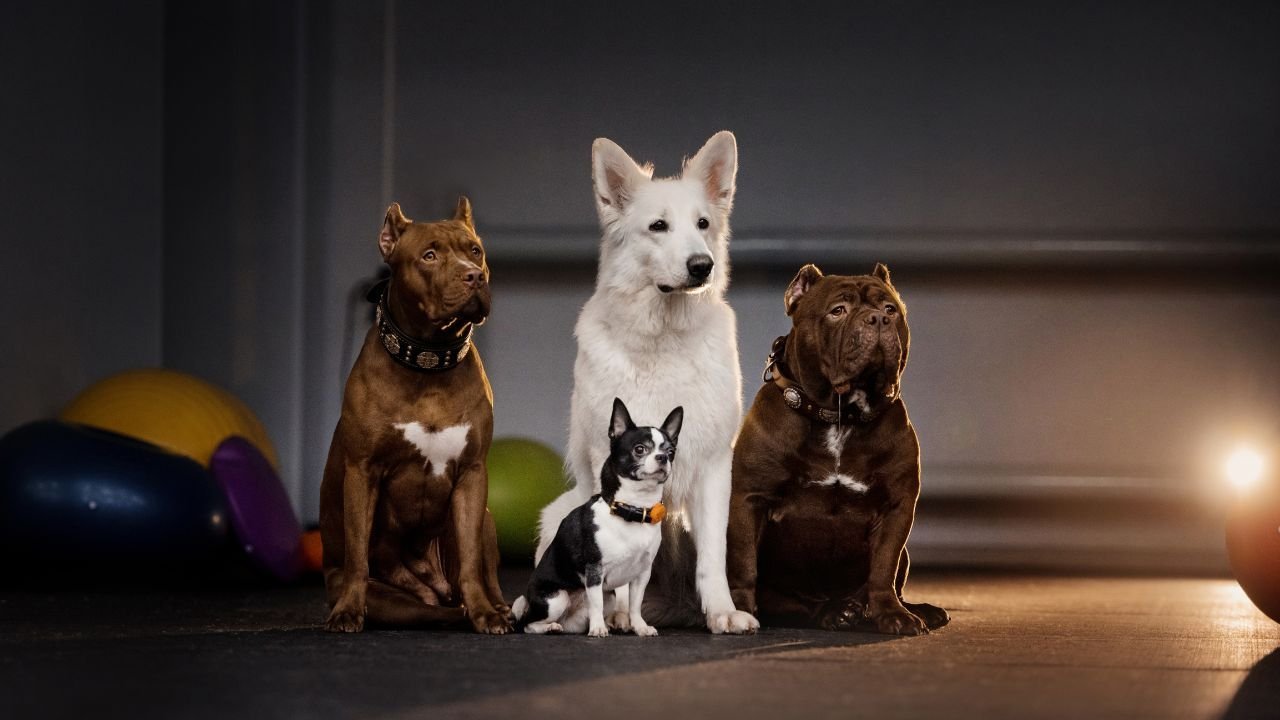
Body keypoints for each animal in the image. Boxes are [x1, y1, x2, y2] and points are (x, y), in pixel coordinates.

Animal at [320, 194, 509, 627]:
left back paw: (495, 608)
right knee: (422, 608)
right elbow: (358, 554)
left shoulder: (472, 474)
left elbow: (471, 562)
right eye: (429, 255)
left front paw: (485, 613)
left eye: (475, 251)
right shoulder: (362, 472)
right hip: (395, 601)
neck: (428, 362)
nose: (474, 276)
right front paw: (348, 611)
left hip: (487, 517)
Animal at [509, 394, 680, 635]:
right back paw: (550, 626)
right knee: (528, 624)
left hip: (603, 600)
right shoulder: (594, 571)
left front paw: (640, 627)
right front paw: (598, 629)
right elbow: (596, 602)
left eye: (671, 452)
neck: (632, 509)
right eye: (640, 449)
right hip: (555, 598)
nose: (663, 457)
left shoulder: (642, 574)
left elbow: (635, 604)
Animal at [532, 131, 757, 630]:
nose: (702, 265)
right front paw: (615, 616)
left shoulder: (715, 469)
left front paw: (722, 613)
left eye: (702, 223)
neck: (663, 341)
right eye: (658, 226)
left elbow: (712, 558)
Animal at [727, 263, 947, 632]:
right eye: (837, 311)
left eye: (891, 309)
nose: (877, 319)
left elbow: (883, 569)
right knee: (793, 603)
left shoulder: (896, 508)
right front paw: (739, 611)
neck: (840, 415)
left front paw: (892, 614)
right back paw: (833, 611)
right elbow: (743, 564)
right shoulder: (750, 499)